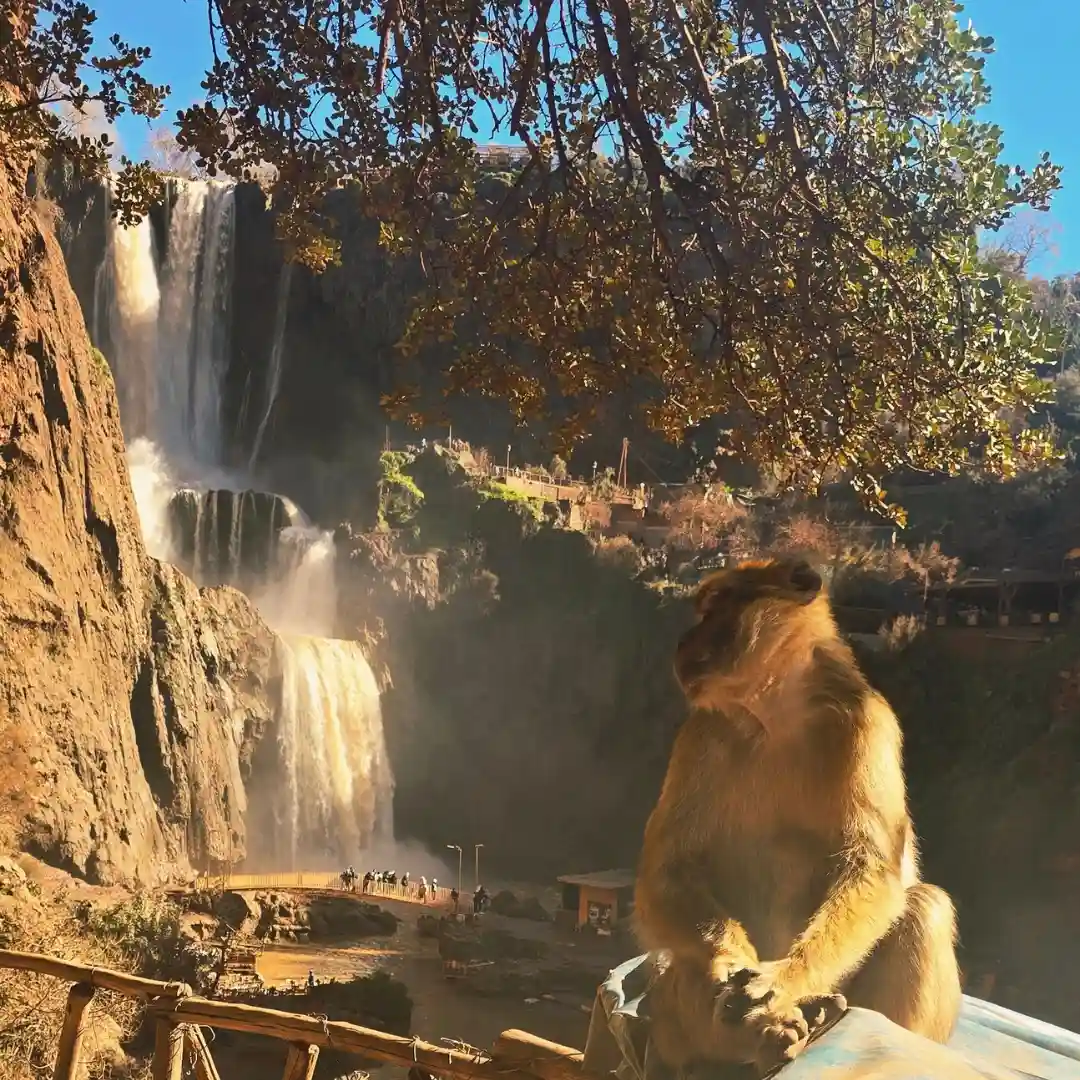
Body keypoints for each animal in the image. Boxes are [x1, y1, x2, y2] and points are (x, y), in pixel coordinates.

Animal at [634, 556, 961, 1074]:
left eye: (717, 604)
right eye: (703, 608)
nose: (684, 641)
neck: (774, 715)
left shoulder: (867, 722)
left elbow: (872, 868)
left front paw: (785, 978)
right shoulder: (699, 735)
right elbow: (668, 871)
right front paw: (730, 960)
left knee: (924, 907)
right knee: (679, 959)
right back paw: (759, 1040)